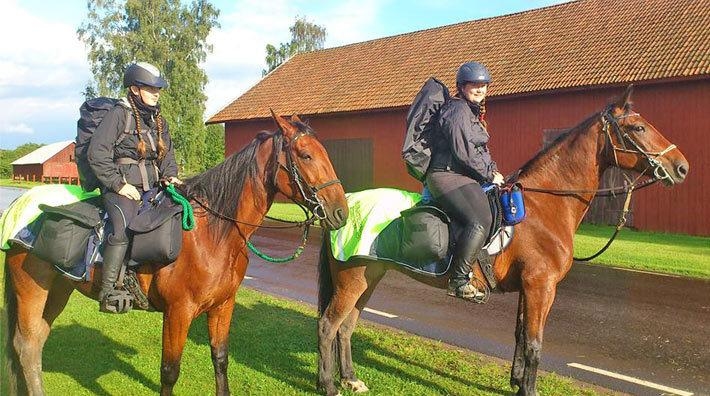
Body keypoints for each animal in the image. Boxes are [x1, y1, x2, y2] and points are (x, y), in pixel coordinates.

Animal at [4, 113, 350, 394]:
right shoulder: (178, 312)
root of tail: (18, 208)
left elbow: (220, 359)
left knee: (37, 341)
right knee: (26, 345)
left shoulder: (223, 306)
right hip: (31, 289)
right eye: (306, 155)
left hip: (58, 289)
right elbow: (169, 372)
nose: (340, 212)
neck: (213, 234)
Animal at [316, 86, 688, 396]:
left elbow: (521, 337)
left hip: (370, 277)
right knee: (328, 325)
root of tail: (342, 206)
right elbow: (535, 344)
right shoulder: (541, 286)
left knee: (346, 327)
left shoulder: (530, 287)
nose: (681, 167)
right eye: (638, 128)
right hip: (353, 279)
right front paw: (530, 390)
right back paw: (328, 385)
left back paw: (350, 379)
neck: (544, 205)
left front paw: (517, 382)